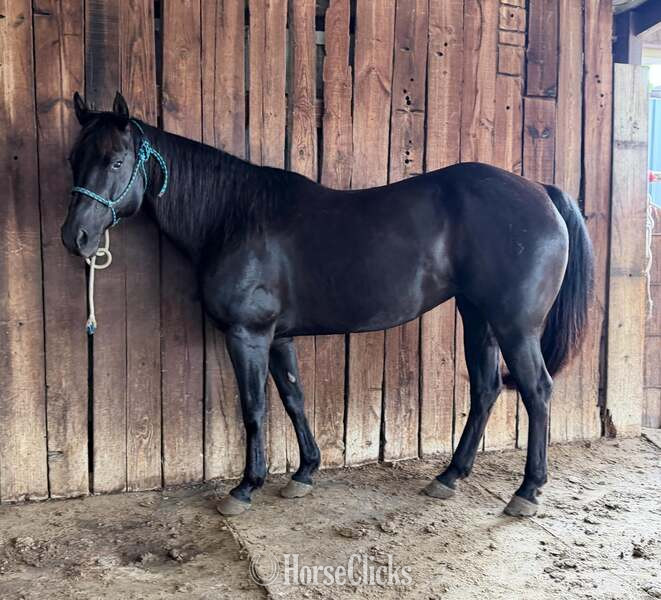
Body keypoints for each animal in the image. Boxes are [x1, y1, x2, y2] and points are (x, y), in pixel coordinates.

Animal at [61, 92, 594, 518]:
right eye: (73, 159)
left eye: (115, 161)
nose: (76, 237)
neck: (232, 218)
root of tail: (542, 192)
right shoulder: (278, 338)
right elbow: (293, 399)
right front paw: (304, 473)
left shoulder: (248, 335)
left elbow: (254, 407)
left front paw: (245, 488)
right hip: (478, 316)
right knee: (485, 388)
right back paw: (449, 477)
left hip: (515, 326)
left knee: (537, 391)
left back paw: (527, 491)